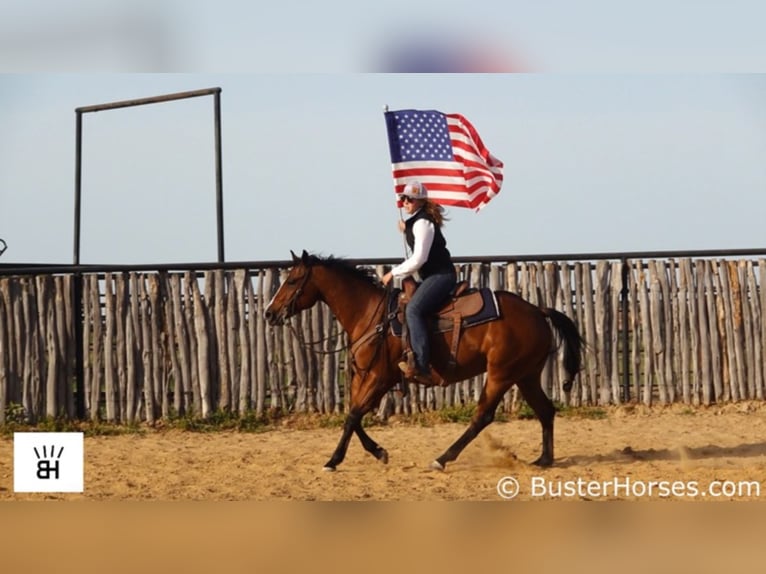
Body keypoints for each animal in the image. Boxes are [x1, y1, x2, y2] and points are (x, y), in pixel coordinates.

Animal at [266, 251, 588, 472]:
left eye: (292, 280)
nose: (269, 312)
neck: (370, 314)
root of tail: (537, 310)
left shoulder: (380, 378)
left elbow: (353, 416)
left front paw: (333, 460)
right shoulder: (364, 377)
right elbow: (353, 415)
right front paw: (378, 451)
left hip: (501, 374)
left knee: (482, 416)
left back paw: (442, 459)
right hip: (526, 375)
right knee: (545, 411)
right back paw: (544, 459)